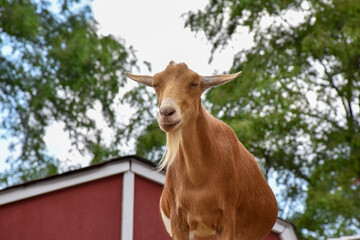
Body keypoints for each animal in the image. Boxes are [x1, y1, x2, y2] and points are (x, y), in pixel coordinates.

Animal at [127, 62, 278, 240]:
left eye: (194, 84)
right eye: (156, 84)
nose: (166, 113)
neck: (198, 181)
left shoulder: (227, 220)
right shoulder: (178, 223)